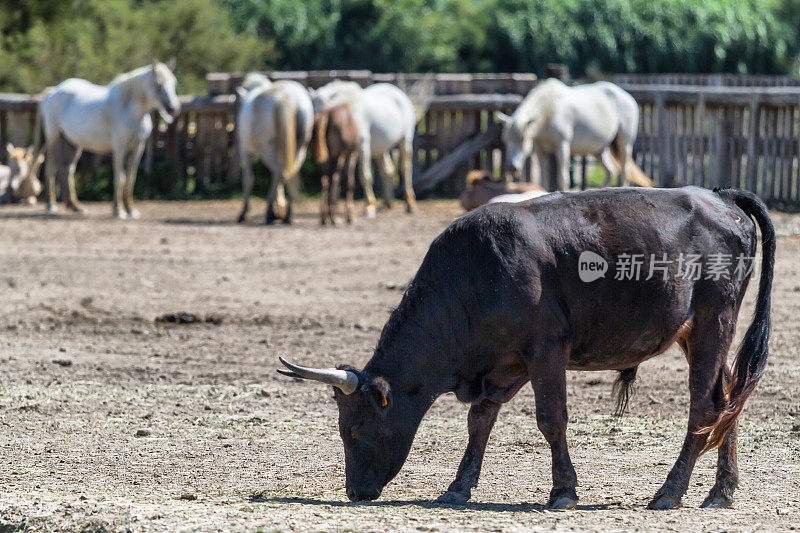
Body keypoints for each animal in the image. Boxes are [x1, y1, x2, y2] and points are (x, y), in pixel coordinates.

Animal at [34, 62, 180, 218]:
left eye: (174, 83)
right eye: (158, 84)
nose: (173, 108)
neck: (128, 108)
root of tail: (52, 92)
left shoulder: (138, 148)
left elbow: (130, 178)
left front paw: (131, 210)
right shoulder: (120, 148)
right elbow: (120, 178)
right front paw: (119, 210)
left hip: (72, 143)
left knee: (67, 170)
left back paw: (75, 206)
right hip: (53, 138)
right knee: (51, 169)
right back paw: (51, 205)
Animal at [234, 78, 312, 223]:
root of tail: (287, 97)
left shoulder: (245, 151)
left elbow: (248, 179)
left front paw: (244, 213)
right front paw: (281, 207)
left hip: (266, 148)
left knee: (277, 172)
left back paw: (270, 212)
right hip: (300, 148)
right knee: (287, 173)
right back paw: (287, 214)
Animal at [280, 186, 776, 508]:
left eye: (354, 429)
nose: (354, 492)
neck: (474, 275)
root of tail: (722, 198)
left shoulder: (546, 349)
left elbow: (551, 419)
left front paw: (563, 491)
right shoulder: (507, 364)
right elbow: (479, 420)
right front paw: (458, 487)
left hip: (714, 320)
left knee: (704, 406)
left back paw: (670, 492)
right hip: (696, 333)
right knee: (727, 398)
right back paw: (721, 491)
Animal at [310, 80, 432, 213]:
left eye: (324, 110)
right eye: (314, 113)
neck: (350, 112)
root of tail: (401, 95)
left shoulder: (362, 147)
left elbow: (364, 175)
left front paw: (370, 205)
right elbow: (336, 177)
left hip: (405, 140)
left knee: (406, 168)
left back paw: (410, 203)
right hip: (381, 148)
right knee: (388, 170)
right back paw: (387, 203)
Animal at [496, 77, 648, 189]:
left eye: (522, 140)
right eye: (506, 140)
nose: (511, 168)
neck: (549, 109)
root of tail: (629, 98)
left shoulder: (562, 146)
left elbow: (562, 179)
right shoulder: (540, 150)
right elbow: (543, 179)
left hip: (624, 143)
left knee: (624, 171)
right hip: (598, 150)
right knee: (611, 171)